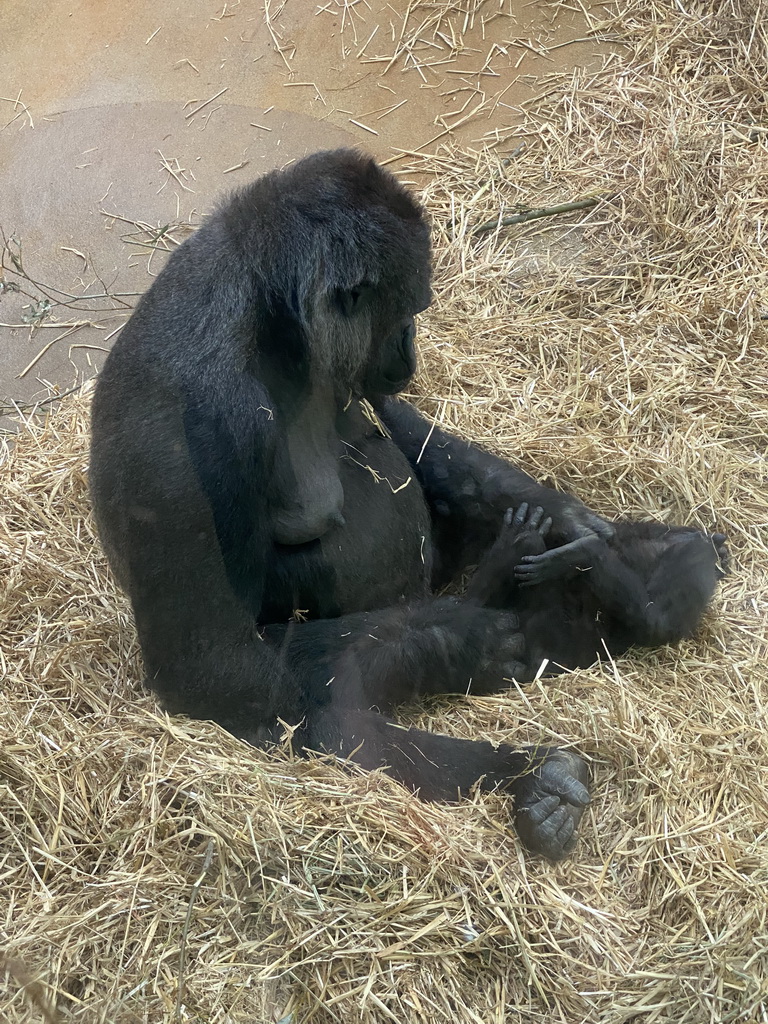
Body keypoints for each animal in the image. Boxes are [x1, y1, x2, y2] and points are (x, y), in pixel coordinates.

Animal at [91, 148, 618, 860]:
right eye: (406, 309)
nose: (412, 350)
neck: (269, 318)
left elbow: (400, 428)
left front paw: (569, 521)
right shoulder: (198, 429)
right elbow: (219, 669)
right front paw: (448, 643)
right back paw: (521, 759)